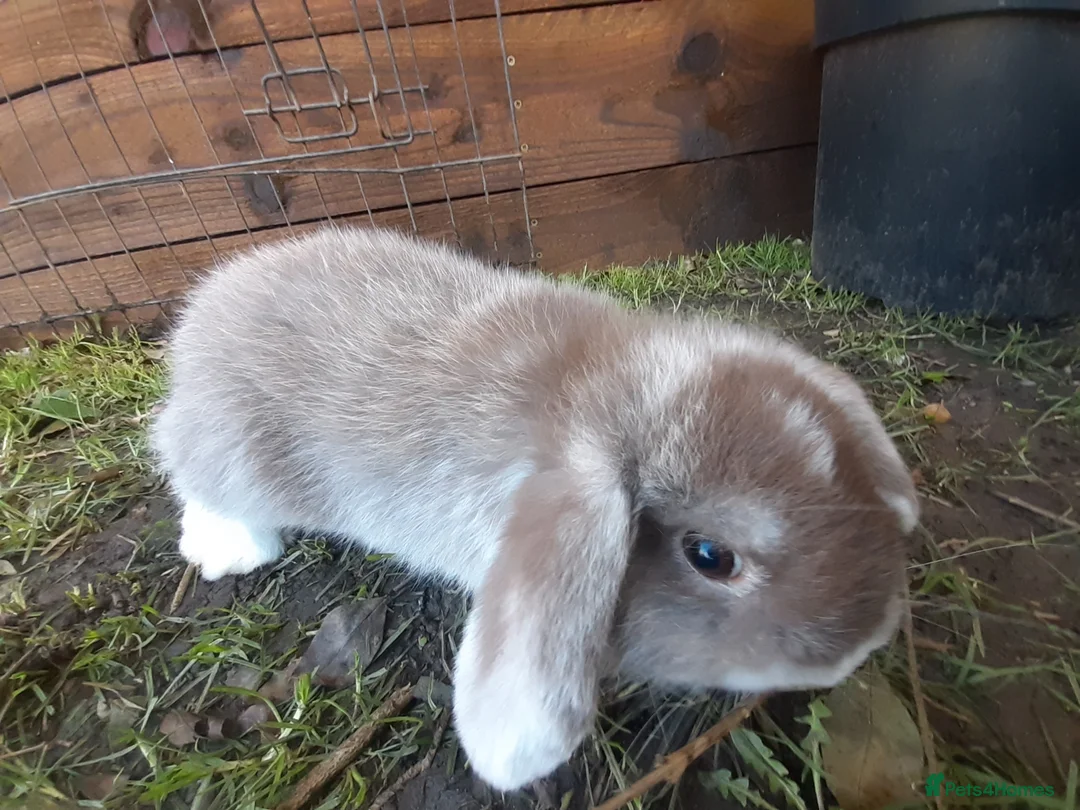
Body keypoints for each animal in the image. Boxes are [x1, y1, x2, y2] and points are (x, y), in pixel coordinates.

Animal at [150, 225, 919, 792]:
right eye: (710, 556)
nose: (864, 642)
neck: (618, 393)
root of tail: (203, 315)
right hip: (235, 450)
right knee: (188, 464)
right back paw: (228, 546)